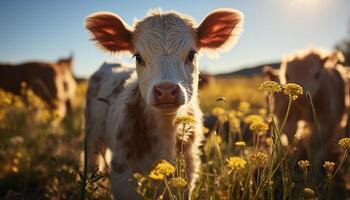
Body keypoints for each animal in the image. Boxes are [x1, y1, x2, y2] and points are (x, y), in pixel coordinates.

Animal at [85, 8, 243, 198]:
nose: (166, 90)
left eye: (192, 54)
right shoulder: (122, 171)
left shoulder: (187, 170)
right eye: (138, 57)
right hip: (92, 135)